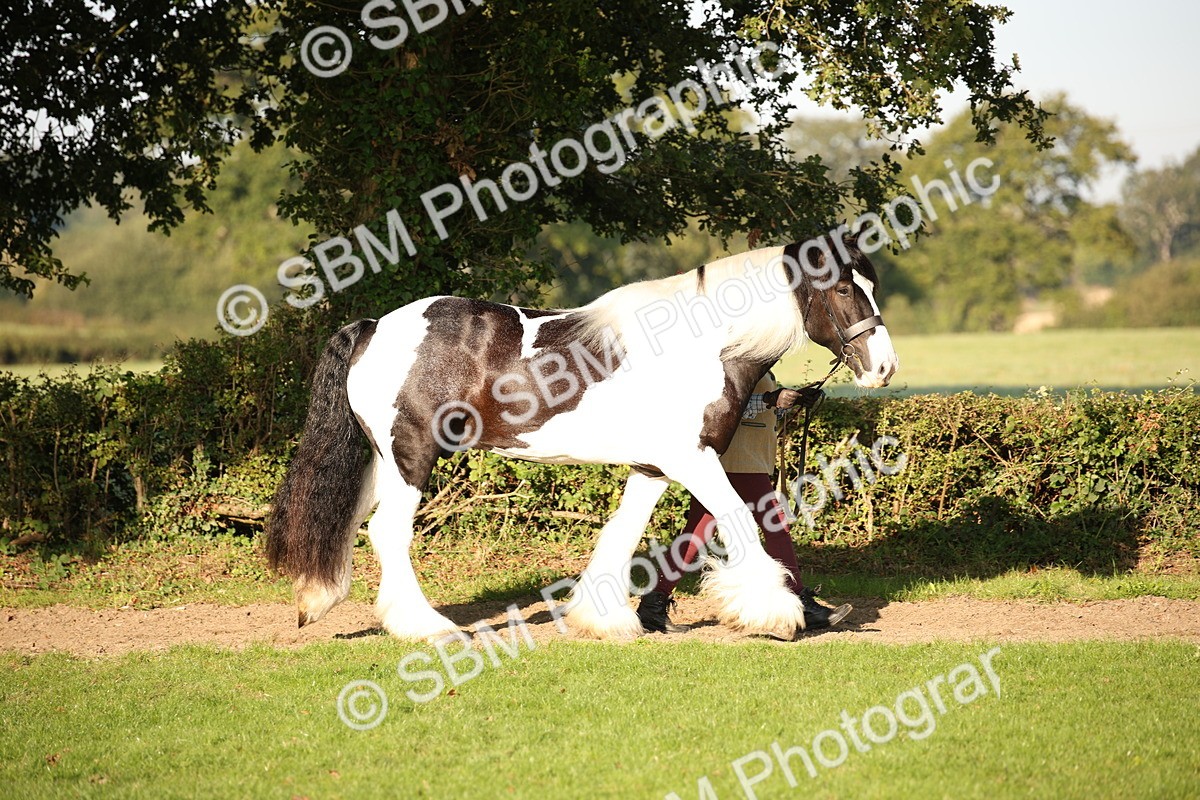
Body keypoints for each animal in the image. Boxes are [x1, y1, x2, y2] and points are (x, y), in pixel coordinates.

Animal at [266, 234, 899, 640]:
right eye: (844, 290)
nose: (884, 368)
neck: (705, 343)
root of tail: (374, 327)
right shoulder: (693, 460)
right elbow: (740, 521)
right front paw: (776, 614)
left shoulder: (654, 466)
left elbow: (623, 533)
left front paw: (605, 618)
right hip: (412, 454)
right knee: (387, 531)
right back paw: (425, 627)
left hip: (382, 461)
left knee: (352, 522)